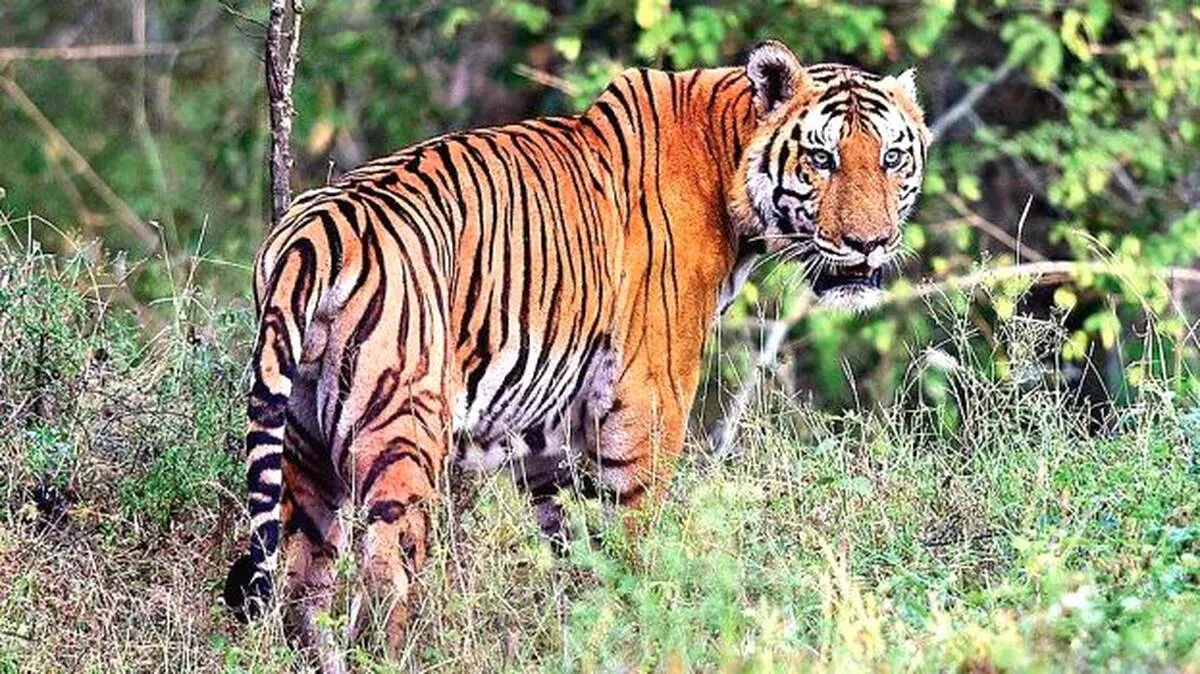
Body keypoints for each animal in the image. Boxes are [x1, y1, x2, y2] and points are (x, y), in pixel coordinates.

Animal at [223, 39, 930, 667]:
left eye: (893, 157)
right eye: (822, 159)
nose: (870, 243)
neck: (727, 154)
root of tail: (311, 235)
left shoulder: (549, 431)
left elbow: (574, 548)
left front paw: (585, 629)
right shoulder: (650, 398)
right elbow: (633, 536)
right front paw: (640, 628)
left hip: (304, 452)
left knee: (302, 589)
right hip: (402, 439)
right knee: (383, 581)